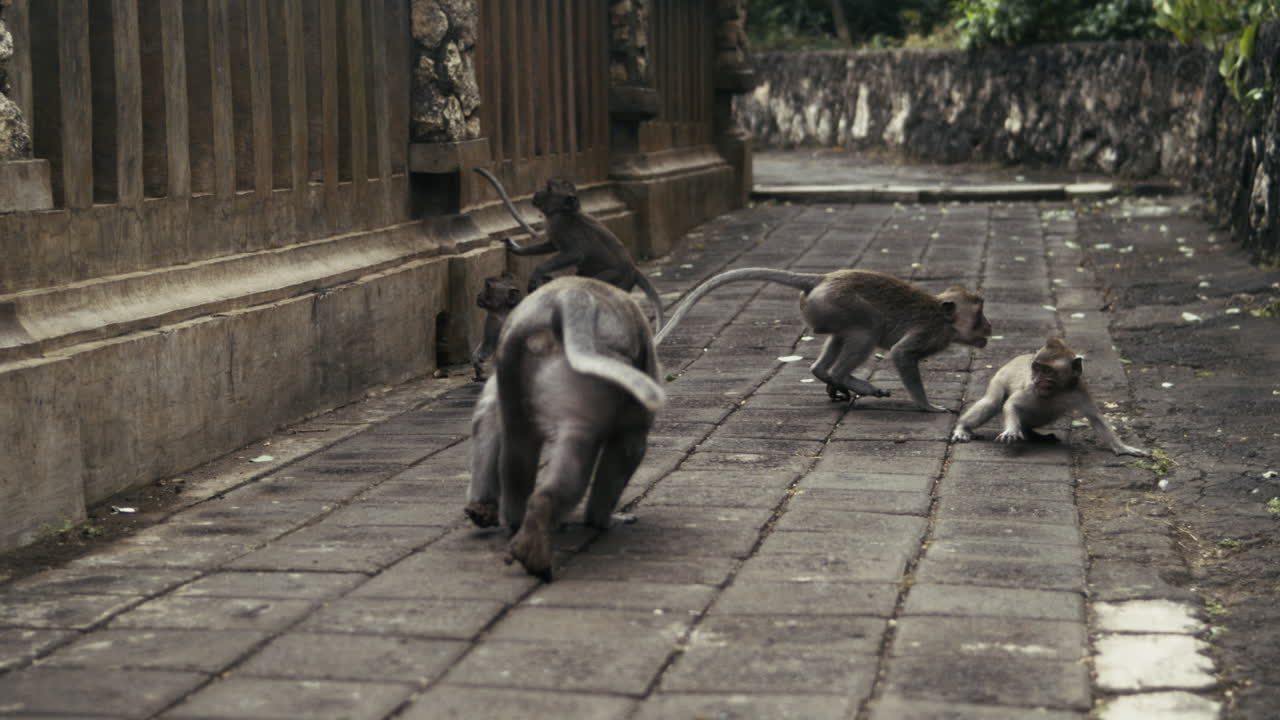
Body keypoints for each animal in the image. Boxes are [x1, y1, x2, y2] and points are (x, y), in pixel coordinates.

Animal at [464, 275, 666, 580]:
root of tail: (563, 299)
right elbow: (628, 445)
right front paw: (602, 521)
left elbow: (486, 416)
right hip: (587, 382)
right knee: (579, 449)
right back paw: (542, 532)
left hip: (514, 362)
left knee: (517, 449)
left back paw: (512, 520)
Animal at [473, 168, 665, 331]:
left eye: (549, 189)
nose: (537, 193)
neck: (562, 213)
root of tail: (633, 268)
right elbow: (550, 245)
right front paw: (517, 249)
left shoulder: (564, 228)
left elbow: (574, 254)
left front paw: (537, 273)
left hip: (616, 277)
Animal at [653, 268, 992, 412]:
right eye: (979, 312)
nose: (990, 326)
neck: (944, 320)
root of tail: (820, 279)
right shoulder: (929, 333)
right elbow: (901, 354)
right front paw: (927, 406)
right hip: (838, 304)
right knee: (866, 329)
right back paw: (844, 377)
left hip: (825, 310)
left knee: (844, 336)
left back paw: (825, 375)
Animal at [950, 337, 1149, 456]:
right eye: (1036, 369)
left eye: (1047, 371)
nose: (1037, 379)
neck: (1057, 391)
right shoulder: (1031, 388)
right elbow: (1011, 404)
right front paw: (1011, 431)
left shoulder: (1079, 390)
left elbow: (1096, 418)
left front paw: (1123, 447)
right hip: (999, 377)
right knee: (993, 402)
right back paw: (962, 427)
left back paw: (1032, 434)